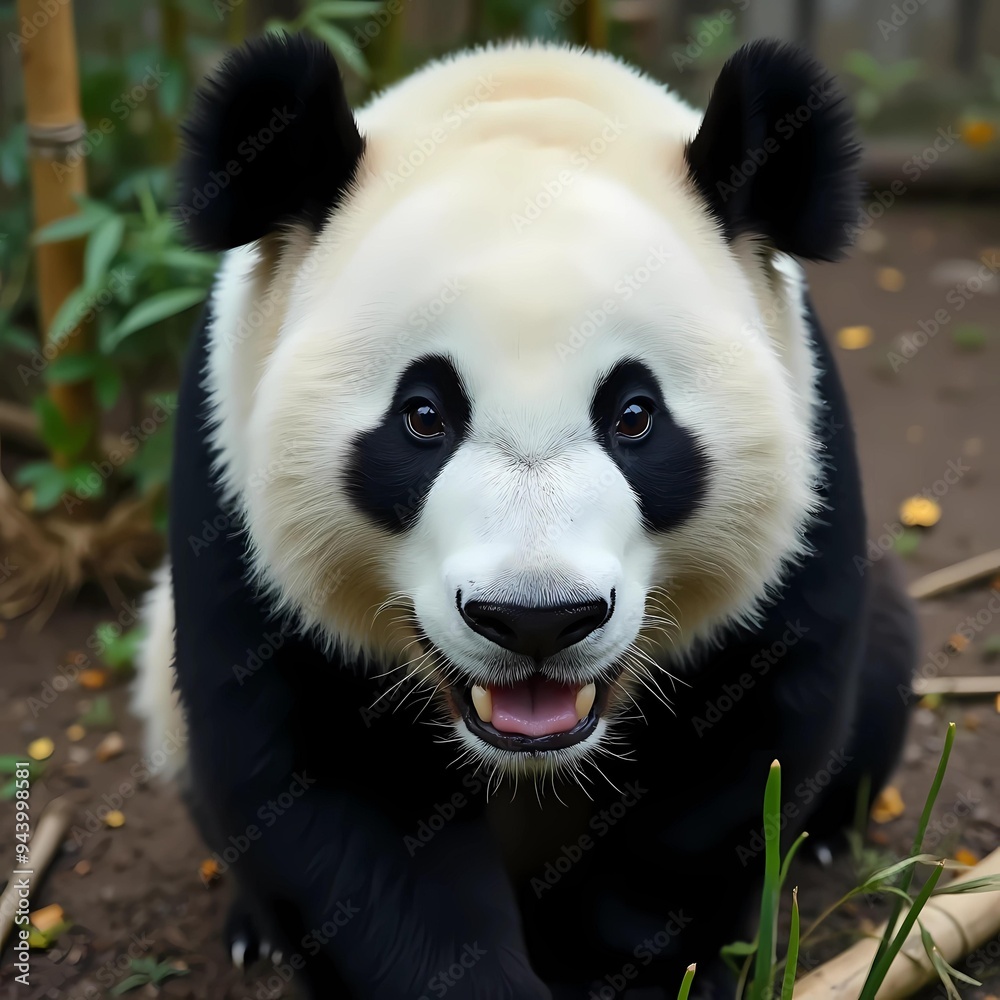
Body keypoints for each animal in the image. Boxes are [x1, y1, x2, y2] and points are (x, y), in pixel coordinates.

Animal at [133, 32, 916, 999]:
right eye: (423, 416)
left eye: (634, 416)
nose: (537, 619)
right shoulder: (230, 487)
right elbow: (324, 793)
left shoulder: (806, 467)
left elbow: (739, 757)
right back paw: (256, 932)